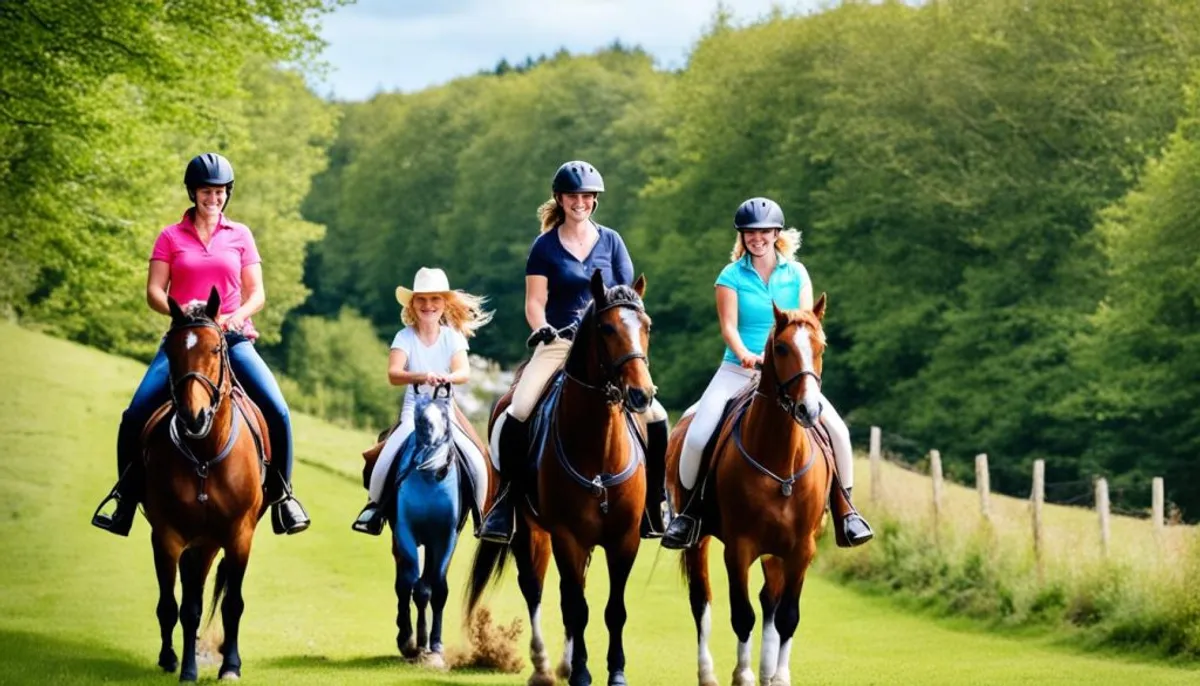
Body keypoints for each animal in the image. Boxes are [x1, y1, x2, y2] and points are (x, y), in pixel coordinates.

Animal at [142, 290, 270, 681]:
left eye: (215, 348)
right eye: (171, 351)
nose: (193, 416)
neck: (204, 455)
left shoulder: (239, 536)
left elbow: (232, 604)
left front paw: (230, 666)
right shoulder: (167, 535)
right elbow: (177, 607)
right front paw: (180, 665)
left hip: (210, 543)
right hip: (196, 543)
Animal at [468, 273, 657, 686]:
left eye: (647, 326)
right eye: (606, 328)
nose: (641, 394)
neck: (599, 450)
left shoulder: (625, 539)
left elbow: (613, 609)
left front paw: (615, 672)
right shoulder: (567, 537)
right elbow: (575, 607)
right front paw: (583, 673)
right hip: (530, 532)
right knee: (535, 590)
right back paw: (542, 666)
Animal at [667, 296, 835, 686]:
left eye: (820, 346)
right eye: (782, 347)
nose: (809, 410)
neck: (780, 464)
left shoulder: (800, 549)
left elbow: (787, 616)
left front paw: (779, 676)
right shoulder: (739, 548)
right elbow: (741, 614)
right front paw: (742, 675)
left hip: (777, 550)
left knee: (769, 599)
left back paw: (768, 669)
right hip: (698, 541)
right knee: (701, 598)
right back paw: (708, 673)